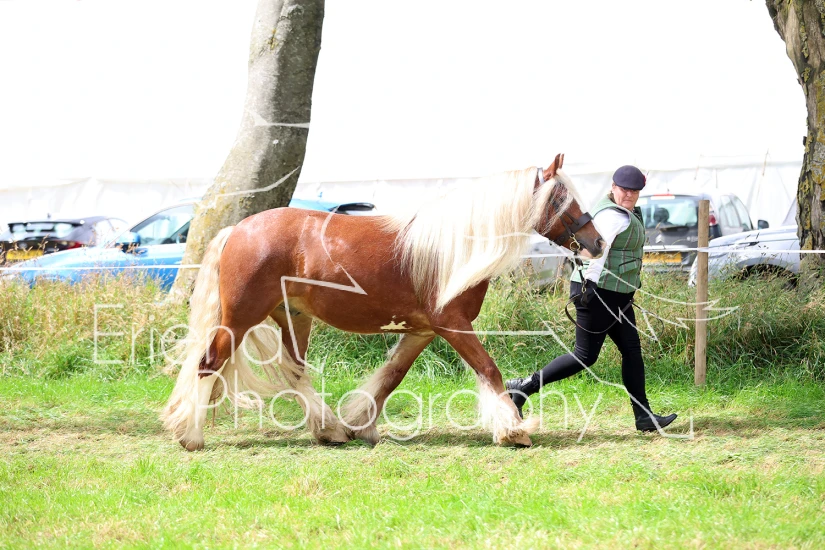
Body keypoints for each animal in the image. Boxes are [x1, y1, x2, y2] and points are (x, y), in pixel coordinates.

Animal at [161, 154, 605, 450]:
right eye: (561, 199)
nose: (597, 242)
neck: (451, 249)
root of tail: (236, 229)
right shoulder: (453, 325)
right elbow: (489, 371)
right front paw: (513, 430)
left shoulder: (423, 331)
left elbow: (391, 376)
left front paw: (359, 424)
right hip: (240, 318)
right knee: (209, 363)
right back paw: (191, 436)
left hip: (293, 318)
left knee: (294, 371)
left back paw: (330, 430)